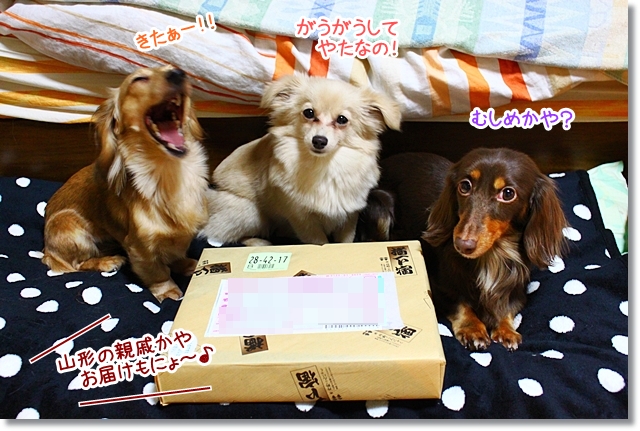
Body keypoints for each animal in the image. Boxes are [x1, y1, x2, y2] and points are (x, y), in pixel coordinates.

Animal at [42, 66, 209, 302]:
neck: (172, 172)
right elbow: (156, 270)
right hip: (67, 225)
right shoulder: (140, 246)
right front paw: (166, 290)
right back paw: (107, 261)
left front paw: (184, 264)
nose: (178, 73)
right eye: (138, 79)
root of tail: (47, 250)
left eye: (174, 68)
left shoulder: (181, 234)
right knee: (77, 264)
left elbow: (177, 250)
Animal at [200, 74, 401, 246]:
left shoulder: (349, 215)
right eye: (309, 113)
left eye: (342, 119)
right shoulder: (302, 219)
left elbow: (345, 241)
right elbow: (320, 242)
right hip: (250, 212)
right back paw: (261, 242)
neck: (325, 166)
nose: (319, 140)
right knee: (222, 234)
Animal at [361, 148, 568, 351]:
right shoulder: (439, 286)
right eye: (465, 186)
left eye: (508, 193)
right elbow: (460, 303)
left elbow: (507, 307)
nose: (462, 244)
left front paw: (507, 331)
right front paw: (473, 329)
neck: (493, 253)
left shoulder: (518, 287)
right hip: (381, 207)